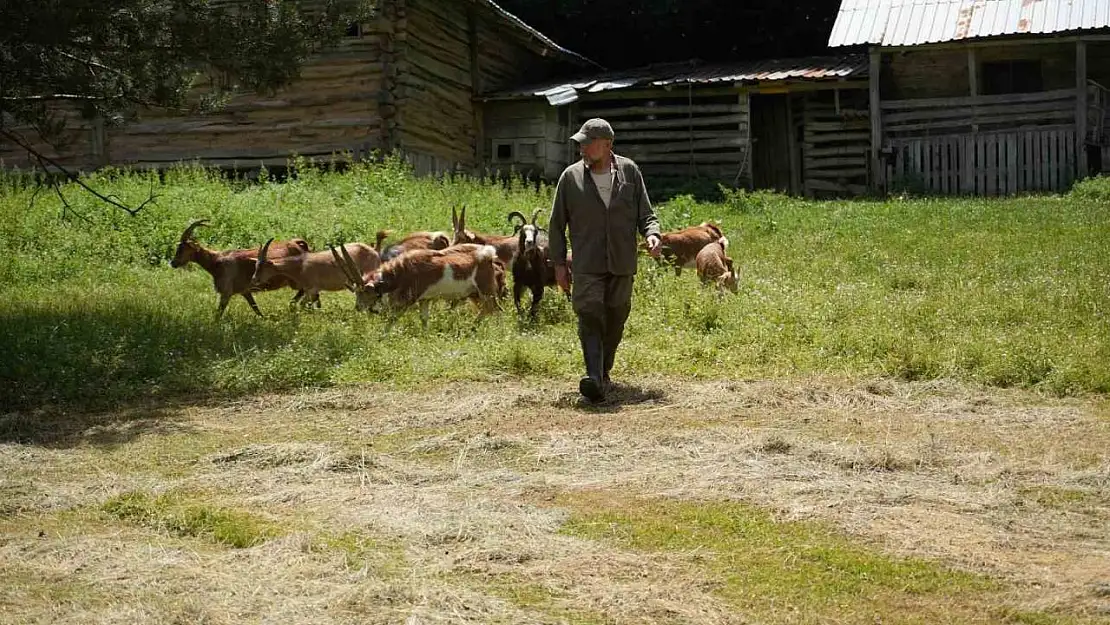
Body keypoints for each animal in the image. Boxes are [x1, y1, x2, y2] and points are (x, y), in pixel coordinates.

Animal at [250, 237, 379, 308]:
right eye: (255, 265)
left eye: (261, 266)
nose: (254, 279)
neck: (300, 265)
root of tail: (374, 251)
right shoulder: (310, 291)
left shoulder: (312, 289)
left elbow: (303, 305)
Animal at [328, 240, 503, 333]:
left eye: (365, 292)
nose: (358, 307)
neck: (402, 271)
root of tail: (487, 254)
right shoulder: (424, 300)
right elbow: (424, 318)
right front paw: (425, 334)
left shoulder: (407, 301)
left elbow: (393, 318)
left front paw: (382, 336)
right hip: (474, 294)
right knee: (489, 309)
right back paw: (474, 328)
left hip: (485, 290)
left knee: (495, 308)